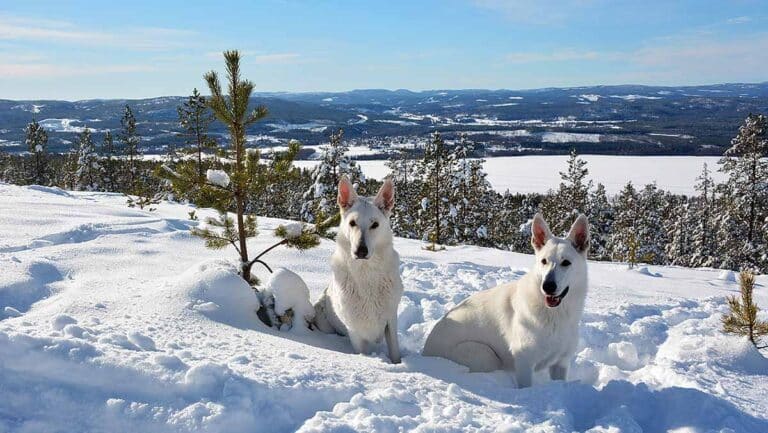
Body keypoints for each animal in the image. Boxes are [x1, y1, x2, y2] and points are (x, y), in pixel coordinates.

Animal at [314, 174, 404, 362]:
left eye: (375, 224)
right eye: (352, 223)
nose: (360, 251)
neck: (366, 272)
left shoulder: (390, 320)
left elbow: (395, 353)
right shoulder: (355, 330)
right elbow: (363, 353)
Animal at [424, 214, 592, 386]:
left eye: (566, 263)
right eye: (544, 261)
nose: (548, 286)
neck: (554, 314)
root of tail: (425, 351)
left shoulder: (561, 363)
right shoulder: (524, 362)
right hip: (485, 356)